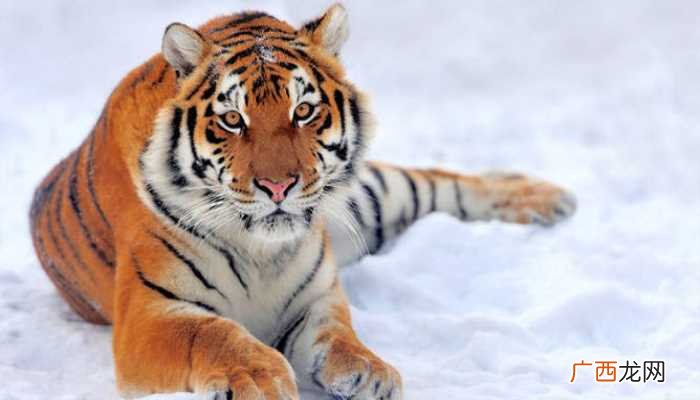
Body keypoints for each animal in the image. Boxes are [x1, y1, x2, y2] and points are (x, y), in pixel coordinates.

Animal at [29, 4, 576, 399]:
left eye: (304, 111)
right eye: (233, 120)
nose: (278, 186)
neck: (259, 251)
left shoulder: (316, 297)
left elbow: (340, 336)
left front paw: (368, 371)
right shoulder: (150, 314)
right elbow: (215, 334)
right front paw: (262, 378)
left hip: (369, 198)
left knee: (441, 181)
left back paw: (547, 198)